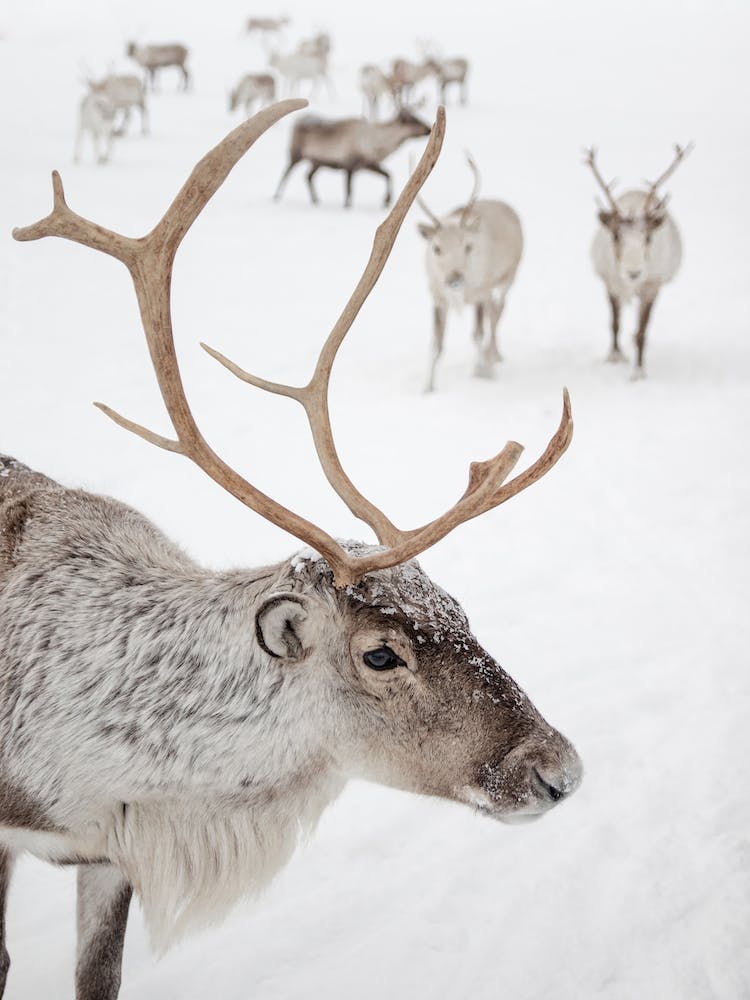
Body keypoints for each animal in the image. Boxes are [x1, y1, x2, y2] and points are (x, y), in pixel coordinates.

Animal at [274, 108, 431, 208]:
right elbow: (349, 190)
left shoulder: (367, 164)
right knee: (286, 172)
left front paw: (386, 200)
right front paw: (347, 206)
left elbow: (388, 175)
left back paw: (315, 199)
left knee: (308, 176)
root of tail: (297, 119)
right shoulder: (349, 164)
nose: (429, 128)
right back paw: (277, 195)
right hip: (296, 154)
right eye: (413, 120)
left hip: (316, 162)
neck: (376, 145)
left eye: (417, 117)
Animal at [417, 154, 523, 392]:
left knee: (499, 310)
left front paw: (483, 373)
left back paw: (493, 356)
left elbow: (477, 334)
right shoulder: (437, 297)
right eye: (437, 248)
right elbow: (435, 344)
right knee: (495, 311)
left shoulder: (481, 292)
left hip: (508, 277)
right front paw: (427, 387)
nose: (455, 278)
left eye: (468, 246)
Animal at [585, 144, 692, 378]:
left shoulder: (652, 286)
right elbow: (614, 323)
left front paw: (639, 372)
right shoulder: (610, 283)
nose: (633, 273)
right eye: (616, 235)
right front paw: (614, 357)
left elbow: (642, 331)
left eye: (648, 237)